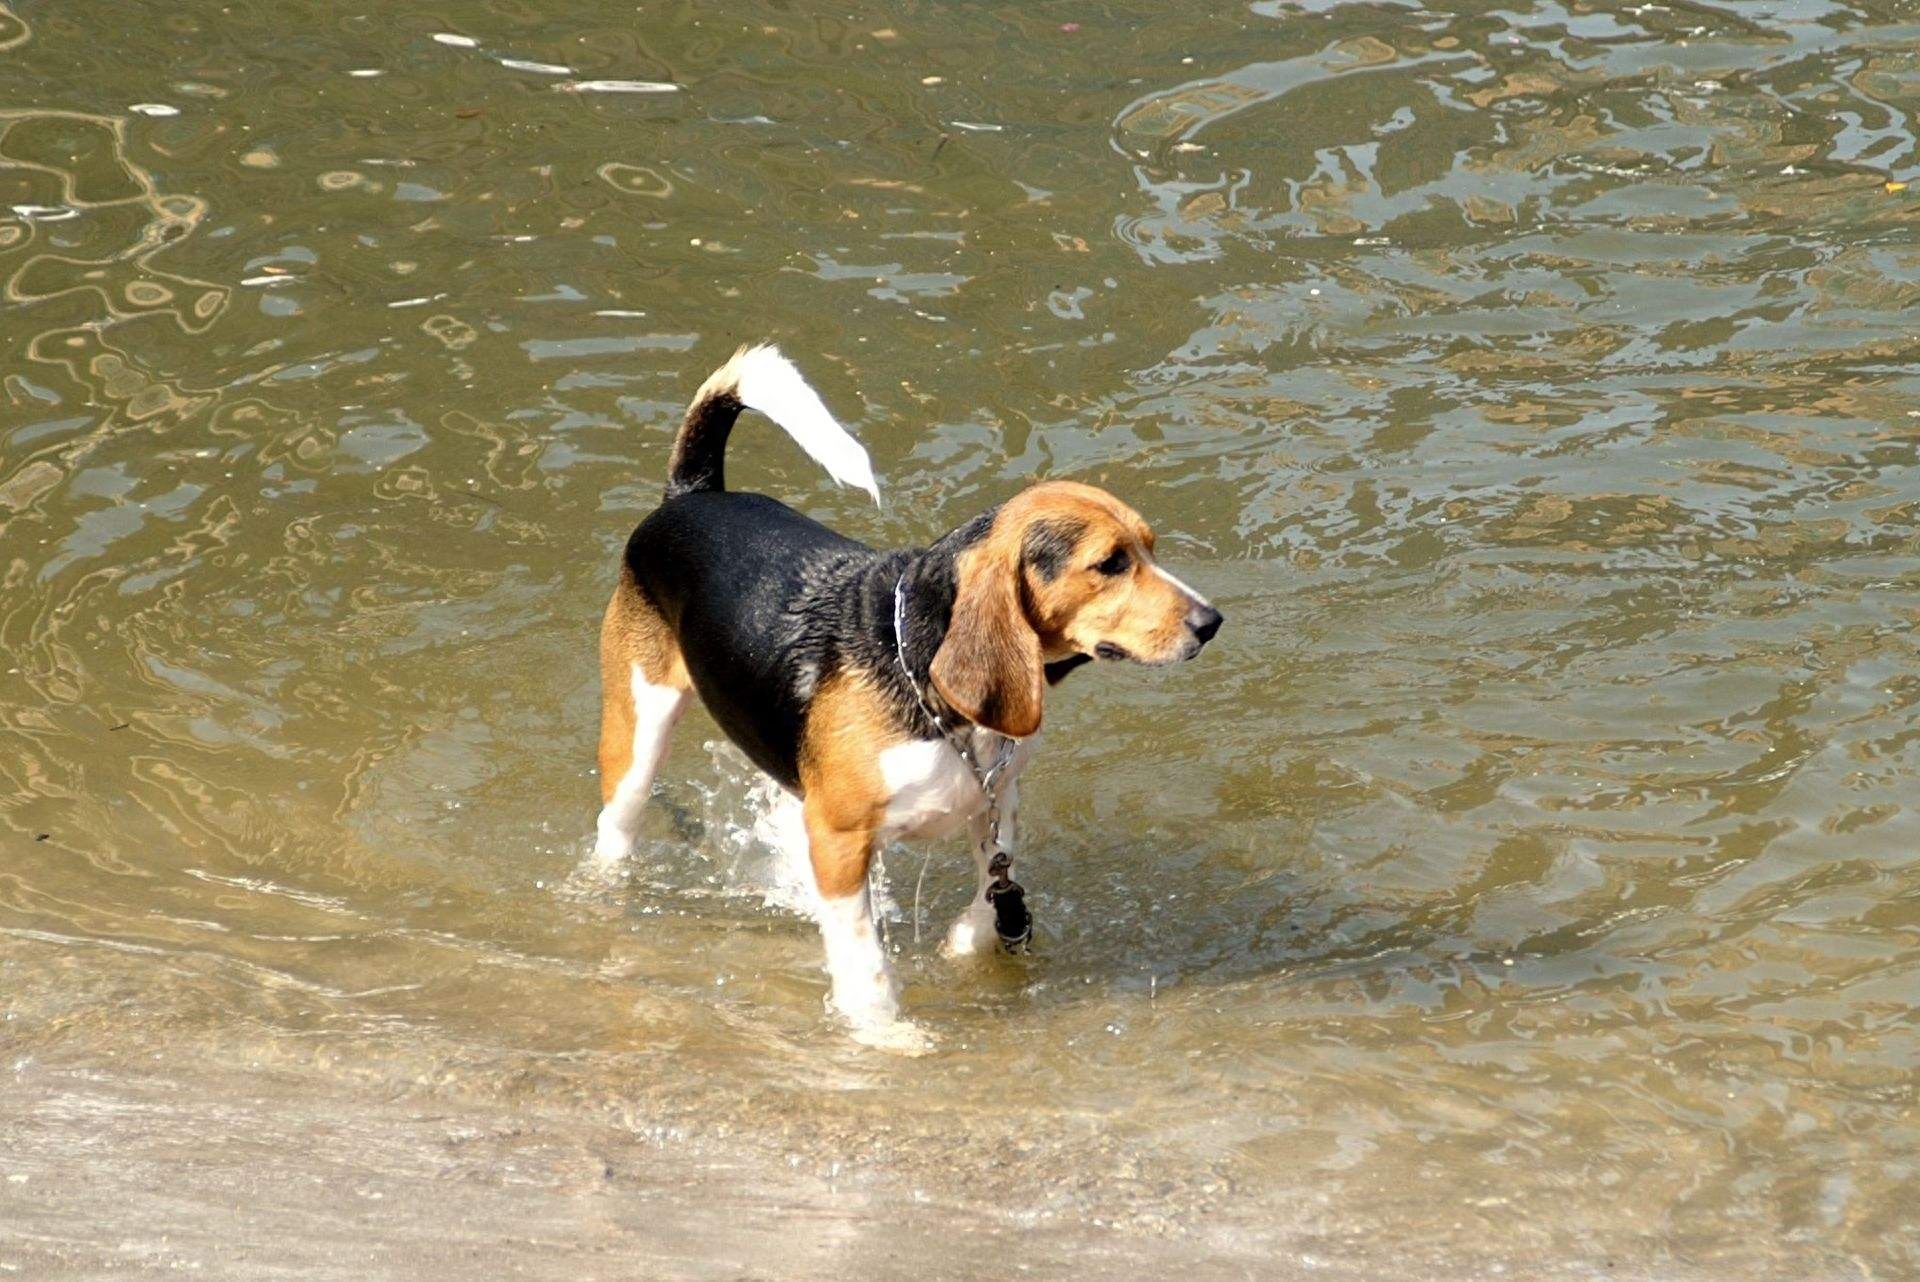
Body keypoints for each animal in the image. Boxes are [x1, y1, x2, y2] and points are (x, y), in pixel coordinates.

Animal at [591, 347, 1221, 1044]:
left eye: (1150, 549)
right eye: (1110, 564)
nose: (1211, 621)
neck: (923, 684)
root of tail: (693, 494)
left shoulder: (996, 805)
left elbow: (991, 899)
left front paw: (961, 947)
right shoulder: (839, 841)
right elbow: (864, 961)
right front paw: (883, 1035)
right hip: (639, 732)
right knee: (615, 824)